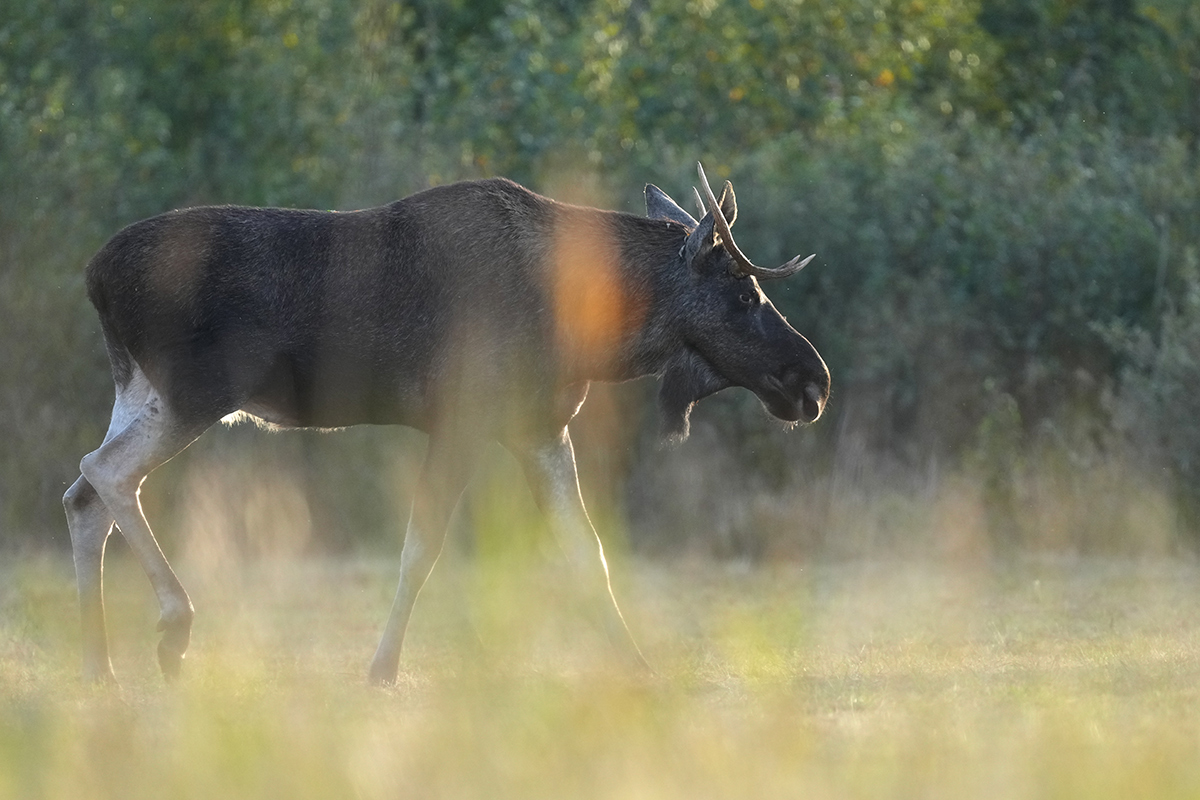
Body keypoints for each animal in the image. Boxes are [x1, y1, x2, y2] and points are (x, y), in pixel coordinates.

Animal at [63, 160, 825, 681]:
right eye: (744, 293)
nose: (812, 380)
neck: (591, 331)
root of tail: (94, 276)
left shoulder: (539, 429)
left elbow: (589, 552)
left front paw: (637, 664)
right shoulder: (461, 419)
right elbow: (420, 549)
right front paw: (382, 668)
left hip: (141, 388)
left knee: (83, 495)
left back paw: (100, 664)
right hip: (200, 391)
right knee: (104, 472)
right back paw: (172, 628)